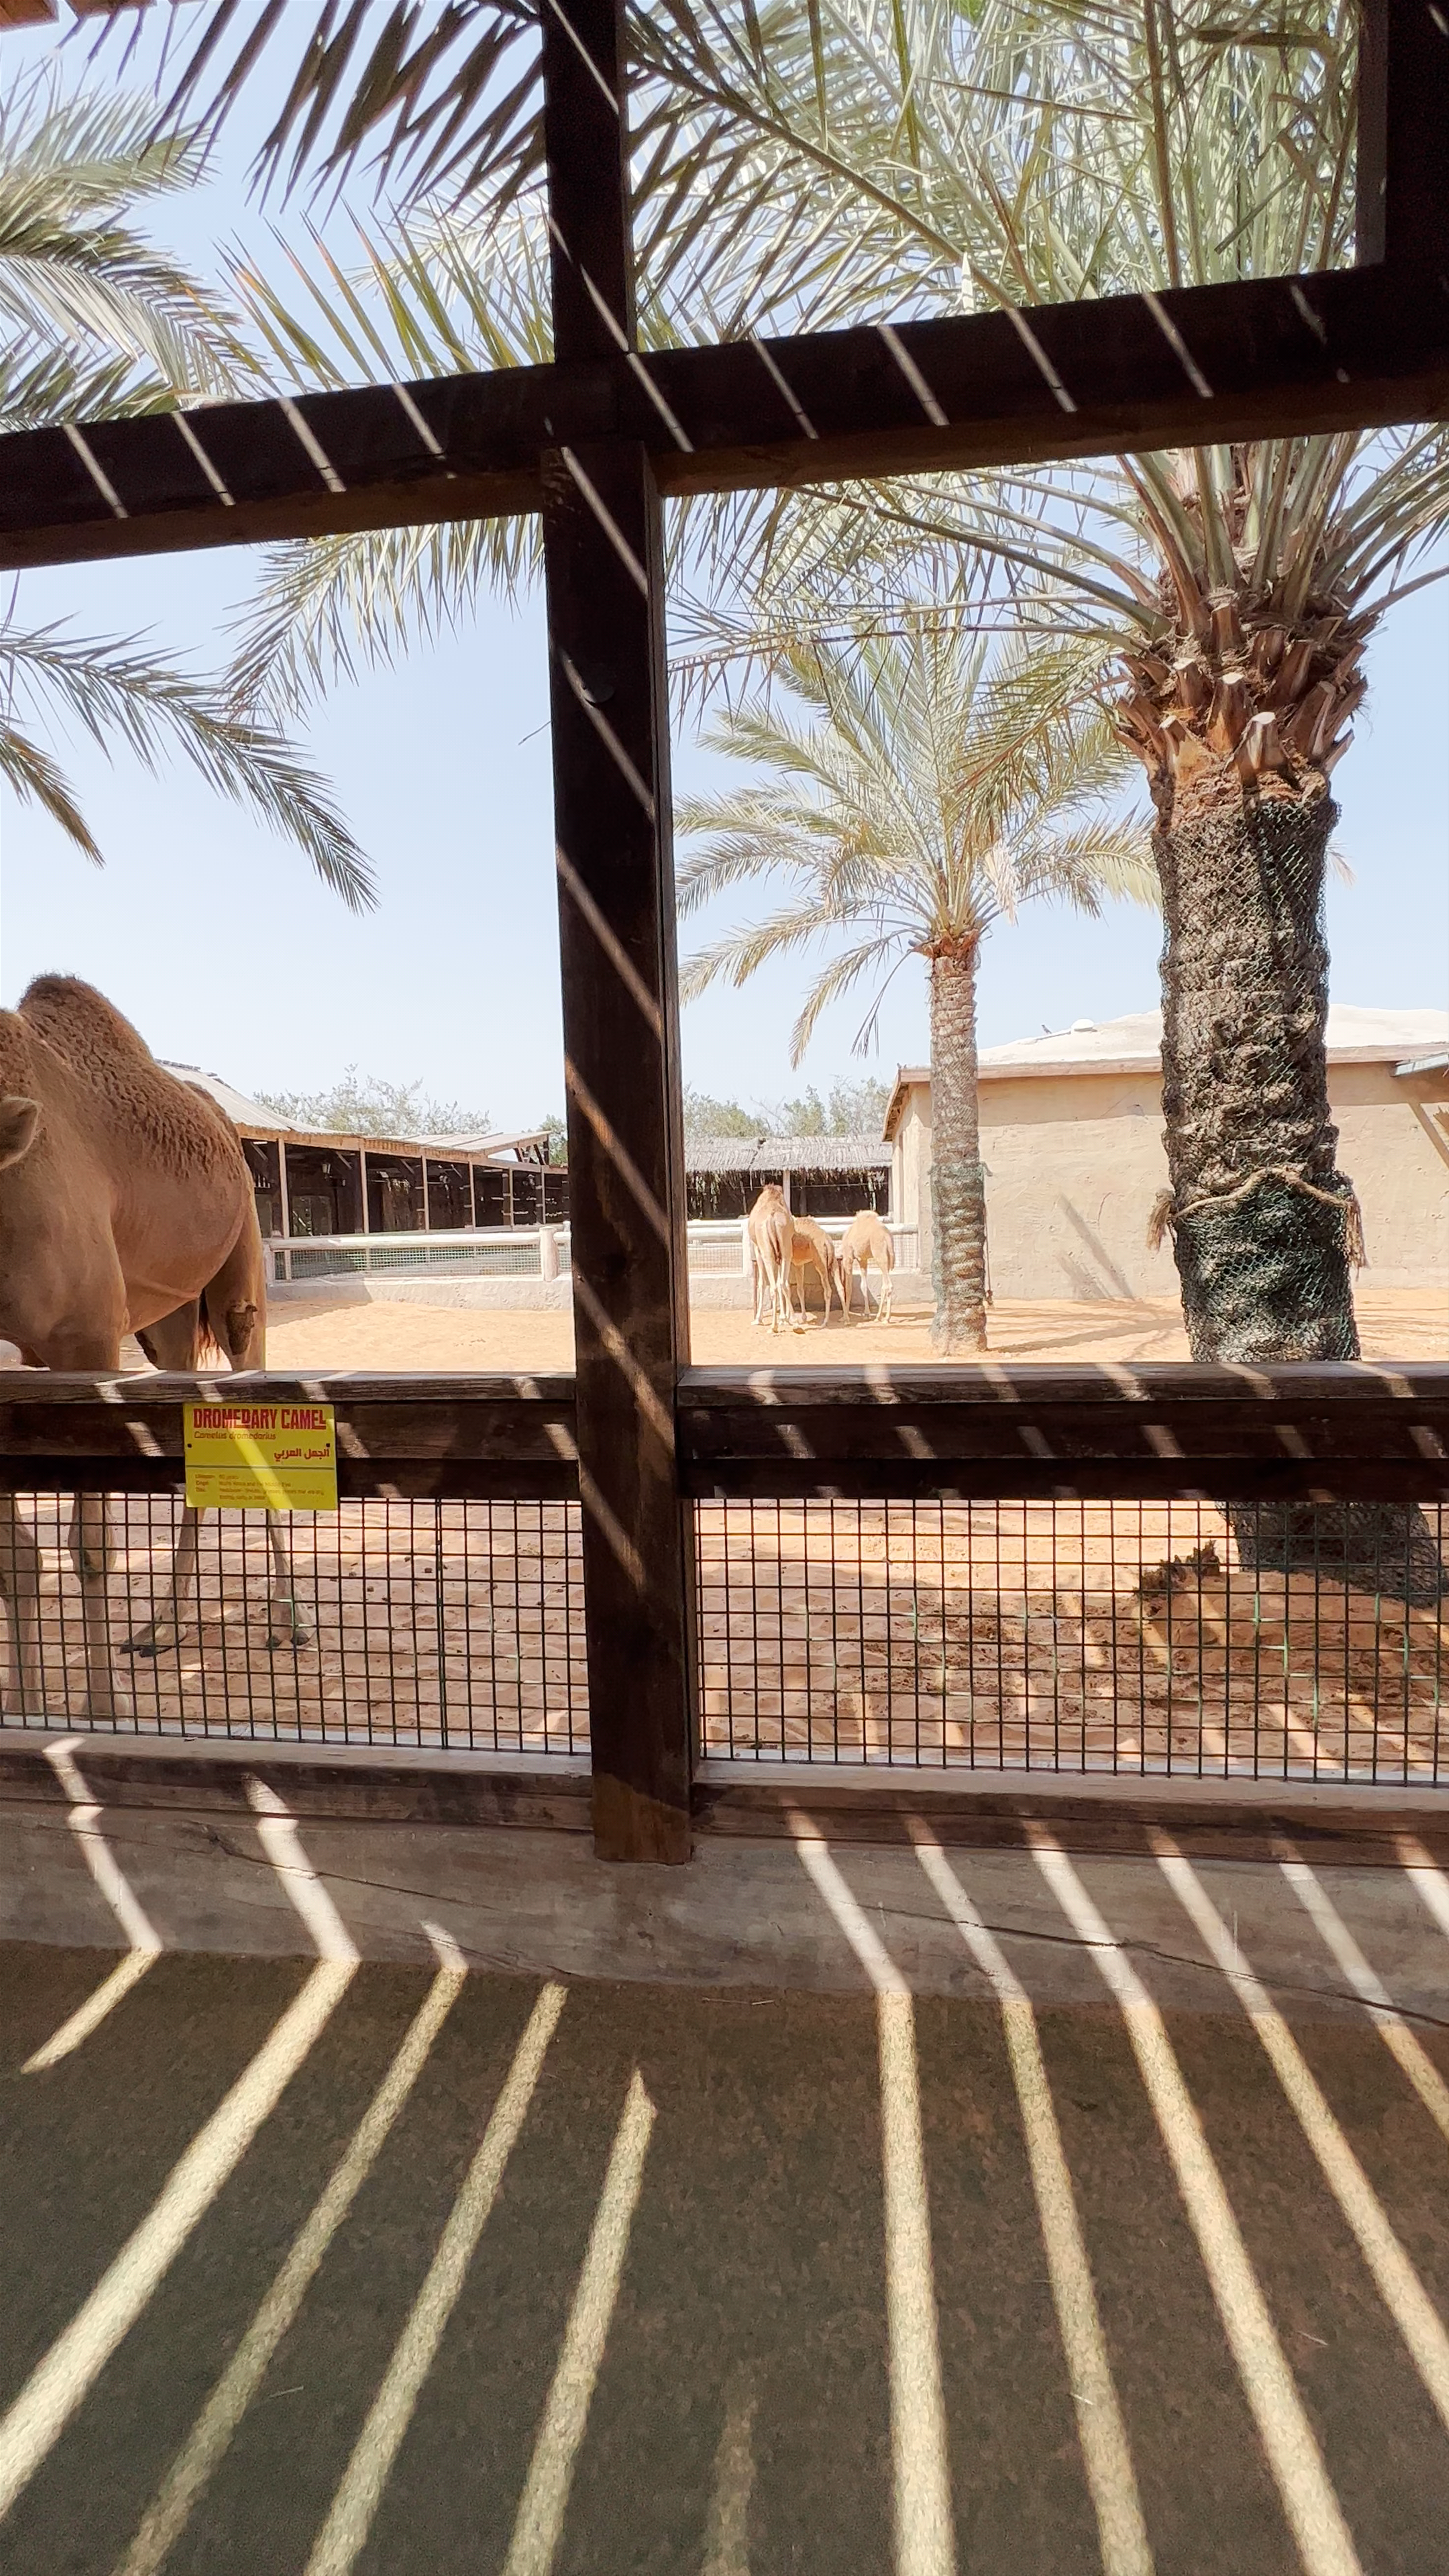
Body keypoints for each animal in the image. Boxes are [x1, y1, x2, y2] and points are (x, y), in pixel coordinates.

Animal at [0, 976, 307, 1718]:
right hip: (163, 1321)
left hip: (241, 1269)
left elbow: (90, 1548)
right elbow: (13, 1555)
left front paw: (103, 1710)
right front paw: (24, 1708)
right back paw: (163, 1626)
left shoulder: (87, 1340)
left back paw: (288, 1620)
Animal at [839, 1209, 895, 1322]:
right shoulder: (863, 1260)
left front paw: (845, 1317)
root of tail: (887, 1236)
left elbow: (848, 1288)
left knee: (889, 1286)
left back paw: (887, 1319)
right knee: (884, 1286)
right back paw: (878, 1317)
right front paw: (867, 1314)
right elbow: (864, 1286)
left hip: (880, 1255)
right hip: (887, 1257)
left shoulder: (849, 1257)